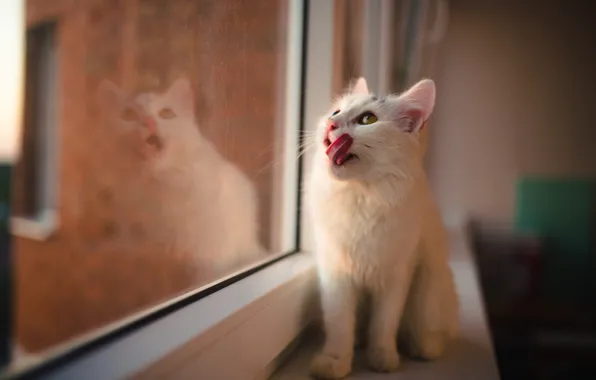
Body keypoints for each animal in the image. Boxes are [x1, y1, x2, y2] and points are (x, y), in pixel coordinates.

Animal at [304, 78, 458, 378]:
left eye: (368, 119)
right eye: (335, 112)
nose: (330, 124)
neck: (362, 196)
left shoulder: (397, 274)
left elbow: (384, 324)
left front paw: (382, 360)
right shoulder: (336, 276)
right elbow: (340, 325)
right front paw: (334, 362)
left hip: (430, 289)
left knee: (429, 334)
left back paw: (423, 348)